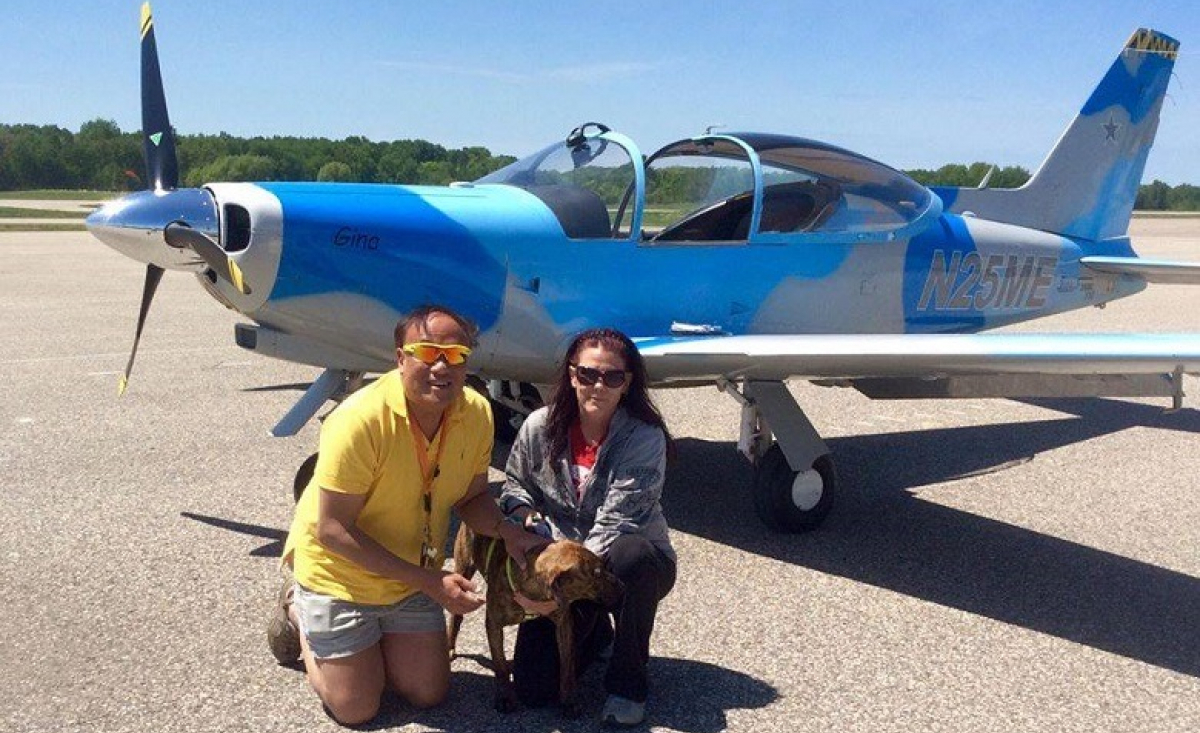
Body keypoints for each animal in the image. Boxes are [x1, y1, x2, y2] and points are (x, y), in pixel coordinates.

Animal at [446, 525, 624, 719]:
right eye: (596, 574)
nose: (621, 585)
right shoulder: (493, 625)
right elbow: (499, 664)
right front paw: (504, 696)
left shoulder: (564, 622)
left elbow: (567, 666)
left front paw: (568, 700)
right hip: (463, 568)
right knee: (456, 615)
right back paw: (450, 647)